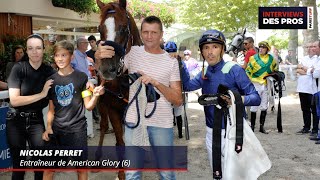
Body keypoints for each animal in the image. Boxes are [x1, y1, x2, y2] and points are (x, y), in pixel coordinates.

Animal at [95, 0, 142, 179]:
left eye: (123, 29)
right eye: (100, 29)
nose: (107, 69)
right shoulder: (113, 109)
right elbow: (120, 143)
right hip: (102, 105)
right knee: (103, 126)